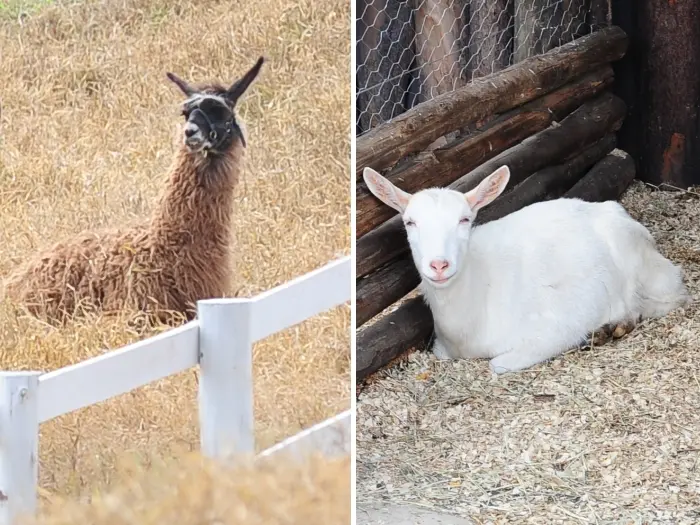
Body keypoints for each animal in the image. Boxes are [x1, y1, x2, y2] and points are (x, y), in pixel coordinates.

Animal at [364, 164, 692, 372]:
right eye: (410, 222)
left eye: (465, 219)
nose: (439, 264)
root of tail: (615, 209)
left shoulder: (553, 330)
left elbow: (498, 364)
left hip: (648, 270)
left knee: (673, 295)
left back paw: (616, 325)